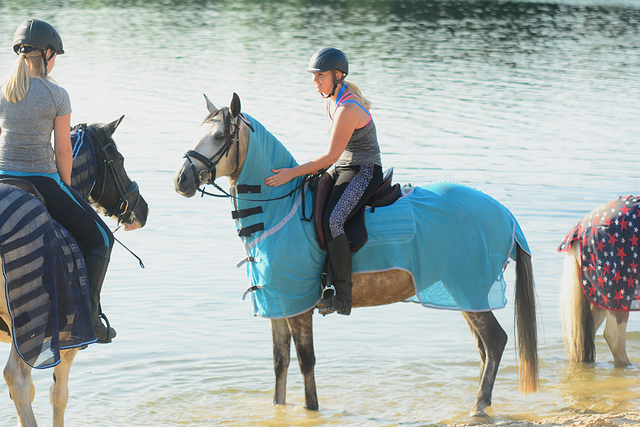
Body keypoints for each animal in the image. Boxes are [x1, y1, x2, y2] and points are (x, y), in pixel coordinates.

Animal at [172, 93, 536, 418]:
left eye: (219, 136)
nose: (181, 179)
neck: (279, 208)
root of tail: (505, 214)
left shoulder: (298, 305)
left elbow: (306, 364)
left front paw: (311, 409)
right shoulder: (278, 303)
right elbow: (280, 363)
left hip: (468, 287)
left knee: (495, 341)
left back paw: (478, 407)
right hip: (463, 292)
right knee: (484, 349)